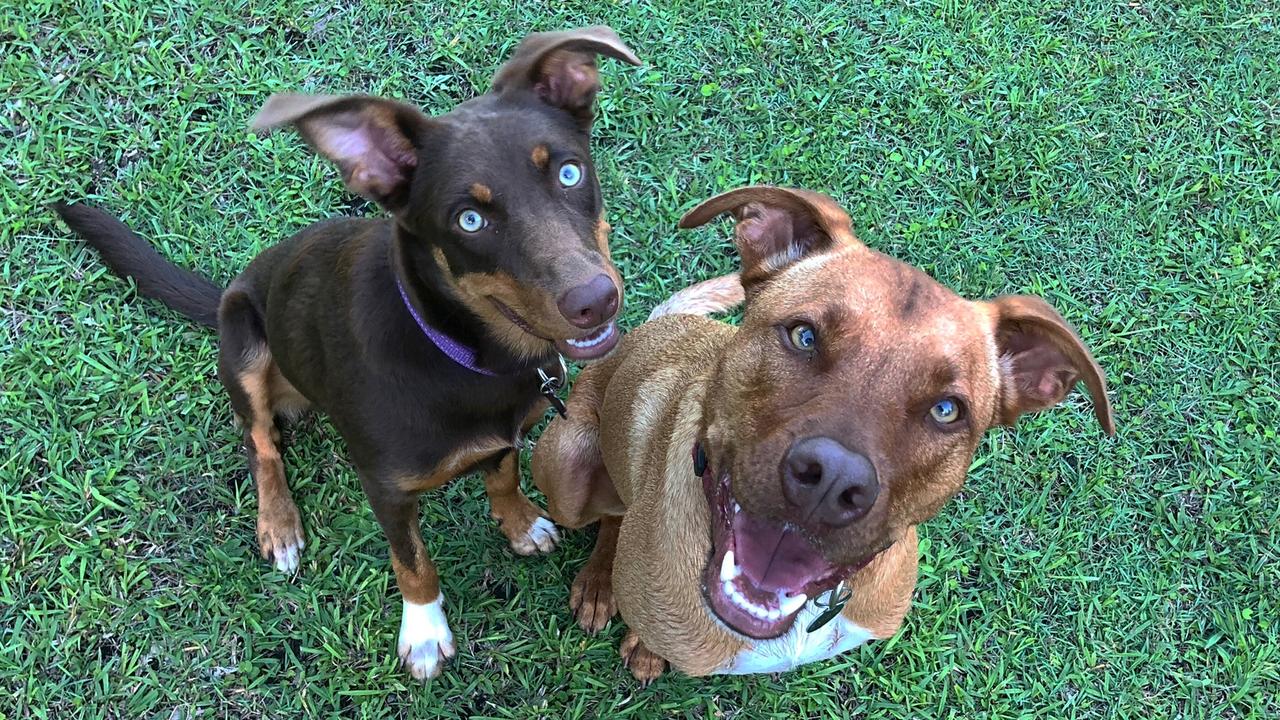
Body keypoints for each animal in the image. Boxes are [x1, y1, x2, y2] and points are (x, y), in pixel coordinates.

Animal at [53, 26, 640, 676]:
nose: (595, 301)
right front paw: (425, 631)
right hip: (244, 342)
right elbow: (412, 560)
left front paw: (519, 524)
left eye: (569, 173)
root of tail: (231, 286)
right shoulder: (385, 486)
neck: (467, 354)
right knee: (260, 442)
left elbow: (504, 474)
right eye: (468, 220)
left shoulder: (505, 433)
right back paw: (279, 523)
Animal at [527, 184, 1111, 676]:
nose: (832, 481)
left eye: (947, 410)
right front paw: (644, 644)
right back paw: (599, 582)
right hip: (563, 464)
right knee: (607, 511)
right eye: (804, 335)